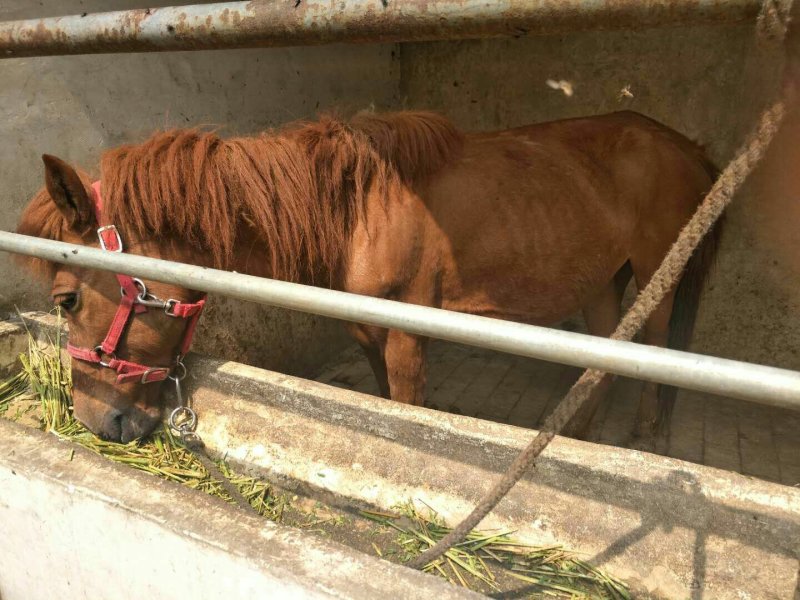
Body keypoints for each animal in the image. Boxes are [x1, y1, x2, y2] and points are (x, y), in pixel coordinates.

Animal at [17, 110, 721, 444]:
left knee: (654, 353)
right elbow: (381, 397)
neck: (354, 208)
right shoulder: (366, 331)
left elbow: (405, 408)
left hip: (657, 273)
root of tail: (690, 148)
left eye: (66, 298)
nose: (95, 422)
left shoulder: (409, 336)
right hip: (603, 281)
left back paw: (644, 437)